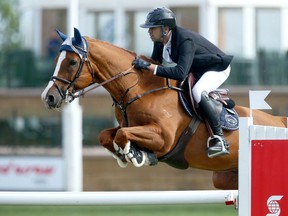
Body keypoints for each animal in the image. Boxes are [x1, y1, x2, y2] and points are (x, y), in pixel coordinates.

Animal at [40, 28, 286, 189]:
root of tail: (279, 121)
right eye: (57, 58)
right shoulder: (130, 126)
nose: (48, 97)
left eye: (72, 62)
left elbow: (122, 134)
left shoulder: (163, 138)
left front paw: (135, 154)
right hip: (224, 177)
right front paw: (127, 154)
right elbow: (107, 135)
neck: (138, 89)